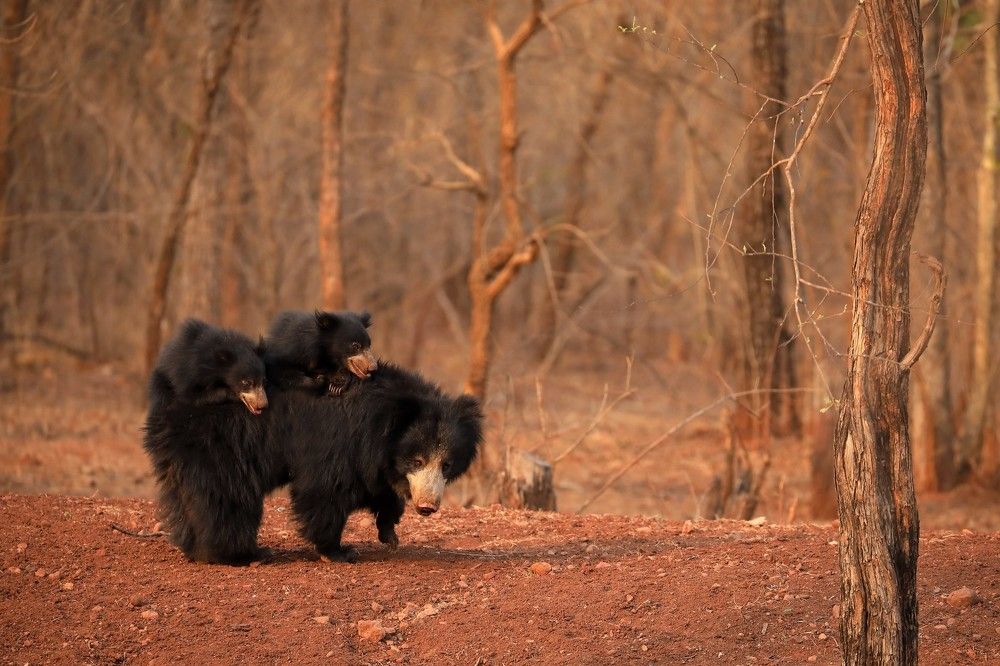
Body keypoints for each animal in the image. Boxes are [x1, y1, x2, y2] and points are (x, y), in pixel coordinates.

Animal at [142, 319, 285, 565]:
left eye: (263, 381)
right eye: (246, 382)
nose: (262, 406)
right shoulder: (186, 375)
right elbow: (196, 395)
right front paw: (225, 394)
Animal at [267, 361, 482, 562]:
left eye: (446, 465)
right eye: (417, 461)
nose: (427, 507)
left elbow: (380, 488)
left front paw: (389, 534)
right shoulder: (336, 441)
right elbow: (327, 489)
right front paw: (336, 552)